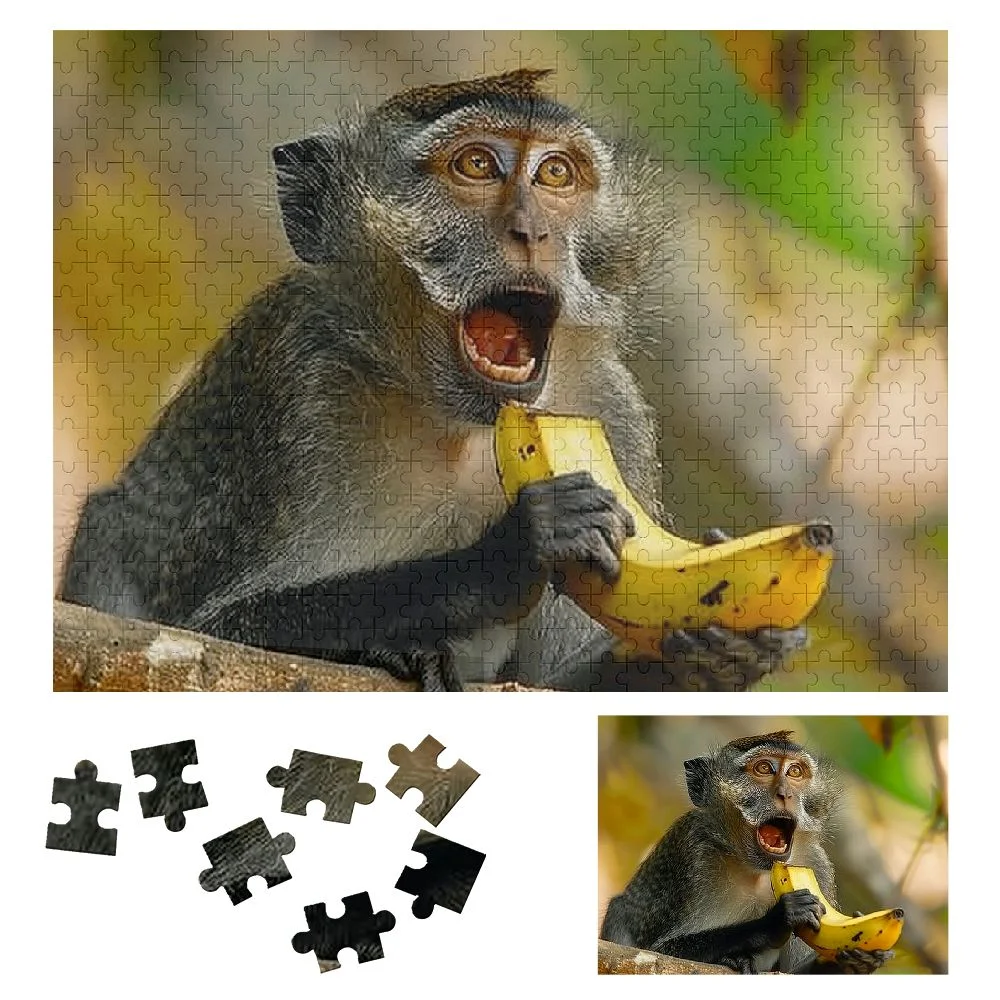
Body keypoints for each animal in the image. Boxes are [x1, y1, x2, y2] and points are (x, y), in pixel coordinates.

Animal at [60, 69, 807, 691]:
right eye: (475, 165)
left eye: (556, 175)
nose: (531, 230)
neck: (459, 424)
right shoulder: (299, 391)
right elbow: (214, 633)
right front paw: (507, 553)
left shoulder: (611, 411)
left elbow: (554, 690)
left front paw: (719, 651)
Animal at [600, 731, 893, 974]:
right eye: (763, 768)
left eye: (795, 772)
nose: (785, 793)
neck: (757, 871)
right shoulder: (694, 855)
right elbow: (661, 952)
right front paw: (775, 921)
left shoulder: (816, 865)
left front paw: (856, 959)